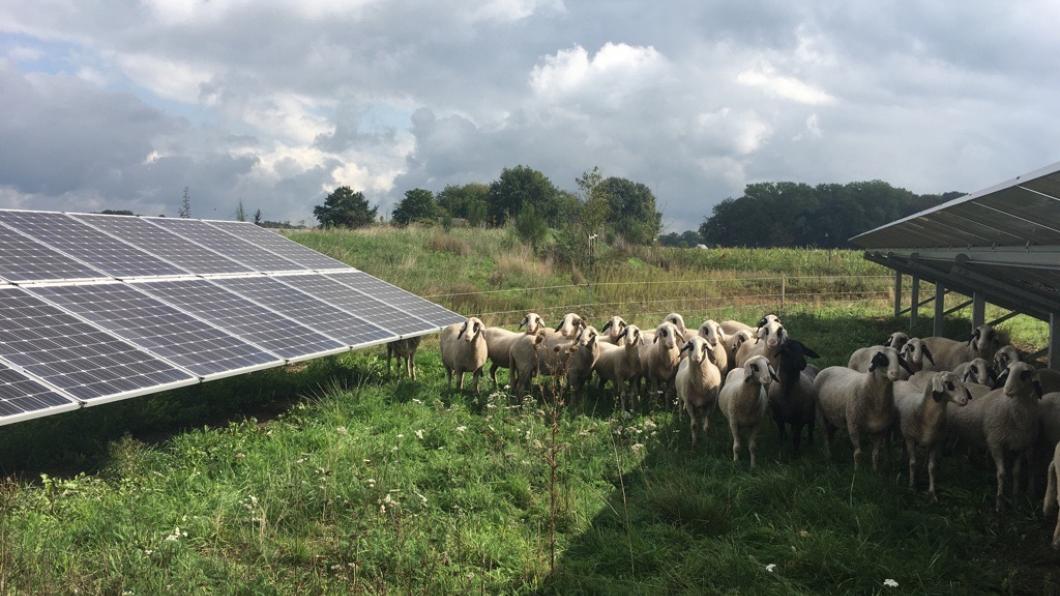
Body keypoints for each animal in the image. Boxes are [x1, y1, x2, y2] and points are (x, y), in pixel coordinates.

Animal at [894, 369, 970, 498]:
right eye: (948, 383)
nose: (965, 400)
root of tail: (902, 381)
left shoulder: (935, 442)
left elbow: (932, 467)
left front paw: (932, 492)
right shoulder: (911, 439)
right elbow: (913, 463)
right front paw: (911, 486)